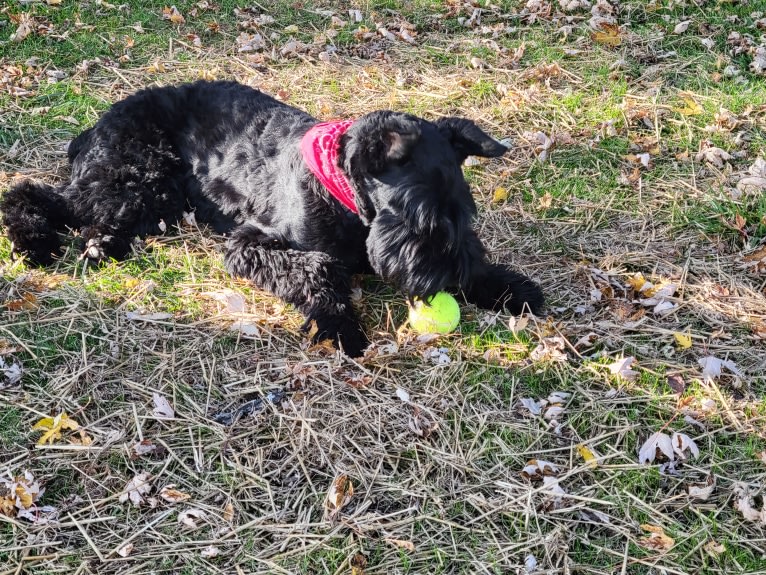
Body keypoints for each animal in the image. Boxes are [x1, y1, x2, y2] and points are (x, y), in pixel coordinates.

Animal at [3, 80, 548, 356]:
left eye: (464, 212)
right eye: (420, 216)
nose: (453, 276)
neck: (345, 196)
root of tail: (95, 125)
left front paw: (508, 287)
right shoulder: (249, 243)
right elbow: (317, 267)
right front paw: (341, 326)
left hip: (152, 198)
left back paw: (102, 245)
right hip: (133, 177)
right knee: (31, 192)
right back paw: (36, 244)